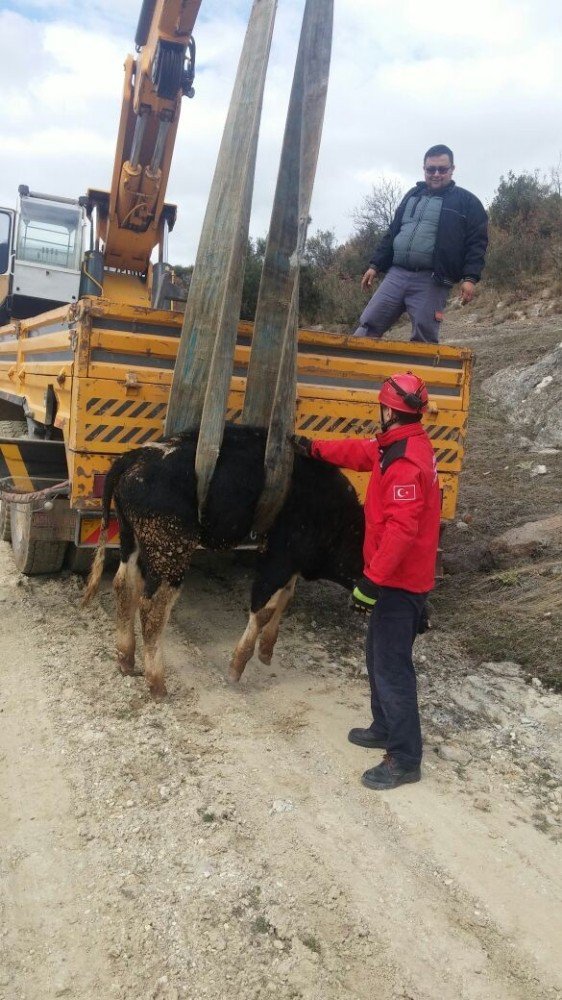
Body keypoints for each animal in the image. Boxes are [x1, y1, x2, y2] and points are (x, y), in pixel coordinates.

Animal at [83, 422, 364, 696]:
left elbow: (285, 598)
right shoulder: (278, 558)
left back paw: (126, 659)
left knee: (124, 586)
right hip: (170, 553)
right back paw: (157, 683)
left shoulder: (293, 563)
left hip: (131, 539)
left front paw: (266, 650)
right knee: (153, 608)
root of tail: (133, 457)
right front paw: (238, 665)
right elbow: (263, 608)